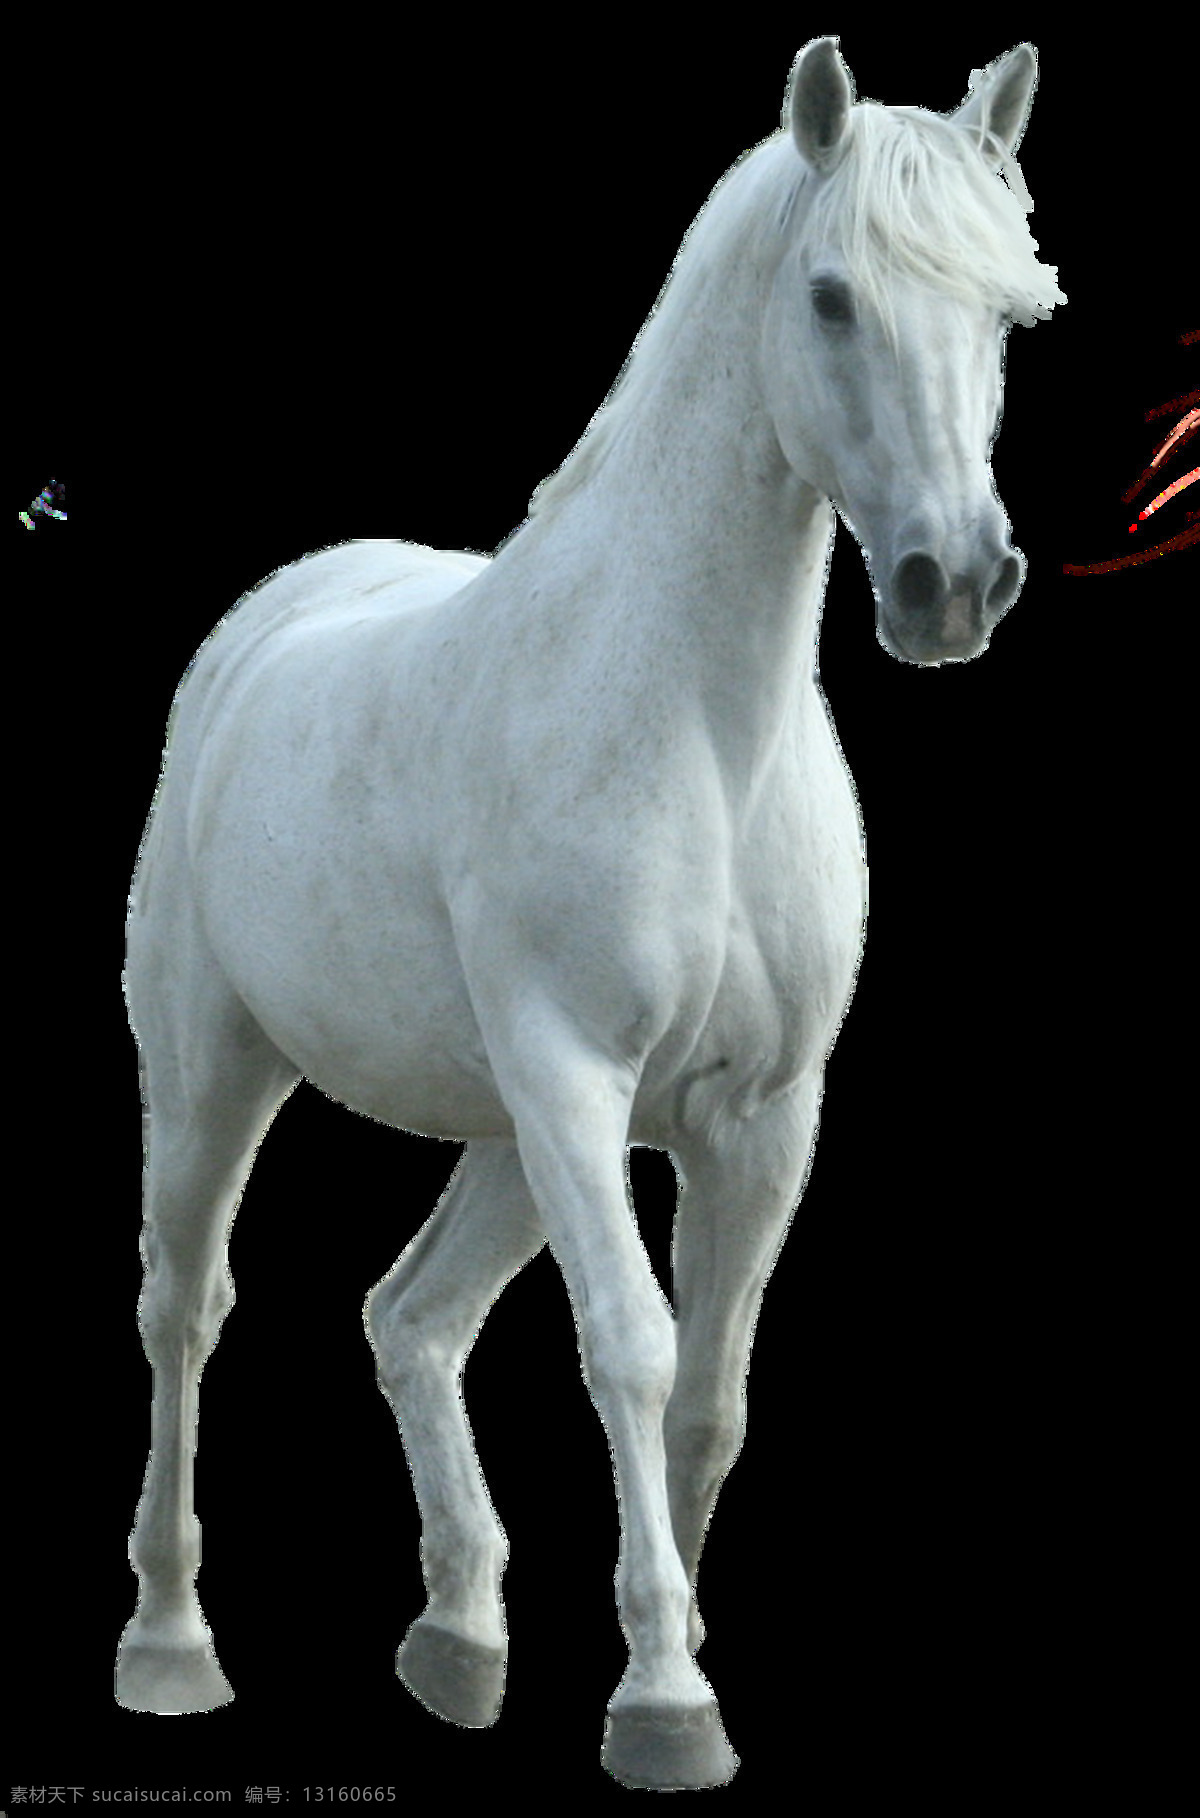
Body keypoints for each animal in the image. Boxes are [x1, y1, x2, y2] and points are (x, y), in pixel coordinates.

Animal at [116, 37, 1064, 1788]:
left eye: (1012, 313)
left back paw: (458, 1634)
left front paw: (670, 1650)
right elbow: (628, 1345)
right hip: (218, 1078)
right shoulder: (574, 1081)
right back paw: (168, 1638)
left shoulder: (756, 1117)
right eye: (831, 295)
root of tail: (264, 627)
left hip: (500, 1137)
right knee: (186, 1309)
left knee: (411, 1317)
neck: (688, 724)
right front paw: (664, 1702)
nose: (953, 587)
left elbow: (710, 1395)